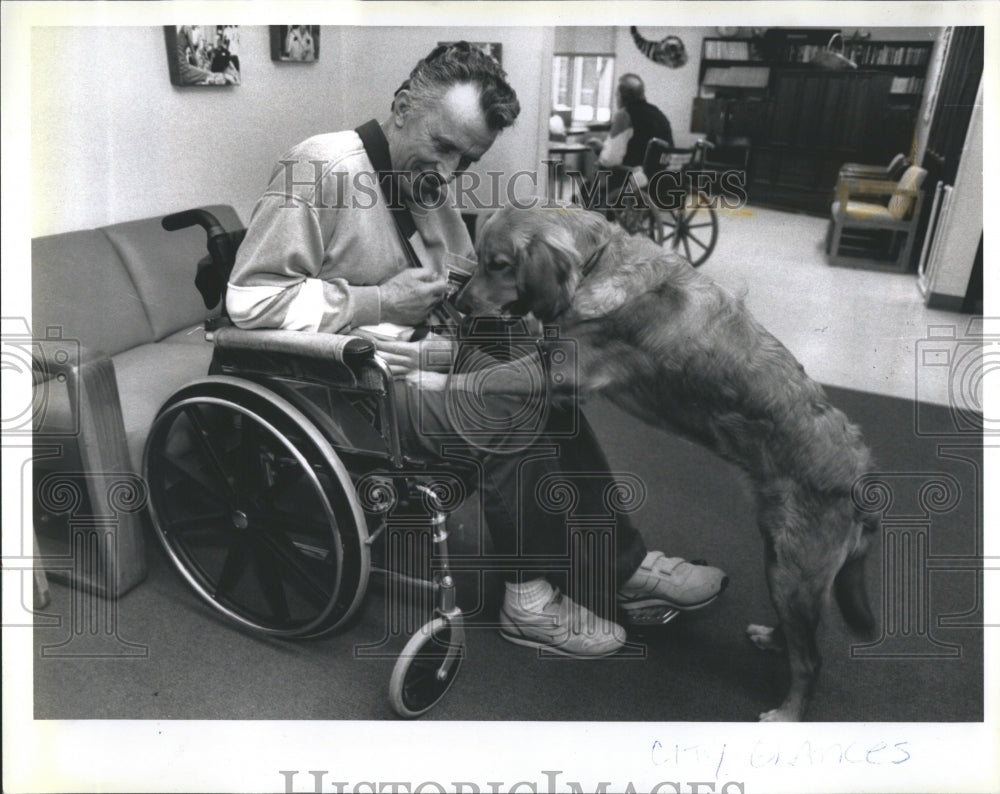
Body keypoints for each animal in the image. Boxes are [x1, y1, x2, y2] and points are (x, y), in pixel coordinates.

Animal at [446, 204, 876, 716]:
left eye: (498, 265)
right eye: (478, 259)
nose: (459, 303)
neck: (599, 263)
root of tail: (858, 472)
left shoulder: (564, 375)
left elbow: (482, 379)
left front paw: (426, 379)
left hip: (794, 573)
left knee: (810, 660)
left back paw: (787, 715)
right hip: (780, 562)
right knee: (803, 638)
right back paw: (773, 639)